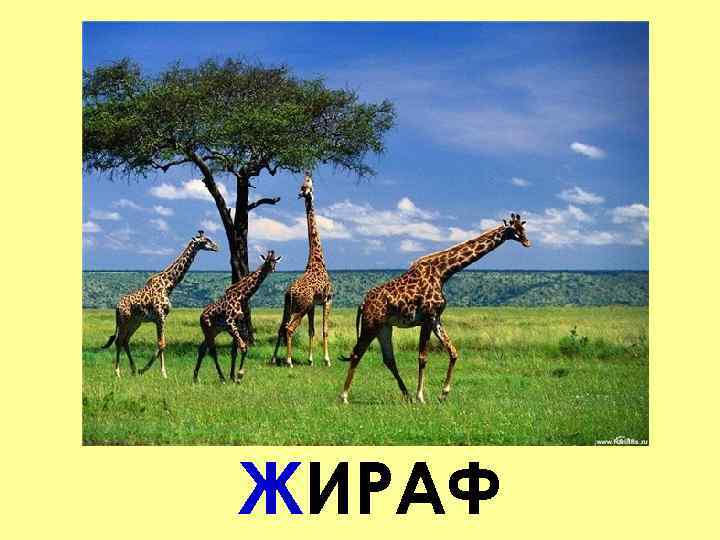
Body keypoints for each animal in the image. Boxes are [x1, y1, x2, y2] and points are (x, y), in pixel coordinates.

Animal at [101, 231, 219, 378]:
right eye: (205, 240)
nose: (216, 247)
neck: (168, 285)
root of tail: (117, 307)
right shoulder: (160, 316)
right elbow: (161, 344)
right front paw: (156, 372)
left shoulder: (162, 318)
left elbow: (162, 343)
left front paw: (153, 371)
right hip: (124, 321)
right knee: (119, 341)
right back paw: (118, 372)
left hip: (135, 322)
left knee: (125, 341)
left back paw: (133, 369)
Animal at [194, 250, 282, 383]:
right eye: (266, 261)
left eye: (275, 261)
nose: (272, 269)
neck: (241, 295)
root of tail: (201, 316)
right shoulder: (230, 323)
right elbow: (243, 347)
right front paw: (239, 375)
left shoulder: (239, 323)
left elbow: (236, 351)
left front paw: (233, 376)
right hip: (207, 329)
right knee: (212, 351)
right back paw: (221, 378)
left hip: (214, 331)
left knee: (202, 349)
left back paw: (195, 377)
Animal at [270, 172, 333, 367]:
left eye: (306, 184)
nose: (308, 174)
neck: (317, 261)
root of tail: (290, 292)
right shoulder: (328, 299)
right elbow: (324, 330)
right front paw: (327, 360)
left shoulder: (313, 304)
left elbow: (312, 331)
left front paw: (311, 359)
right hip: (301, 308)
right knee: (289, 328)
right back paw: (289, 360)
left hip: (287, 307)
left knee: (281, 327)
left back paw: (274, 358)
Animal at [338, 213, 531, 404]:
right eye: (514, 229)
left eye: (523, 228)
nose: (527, 242)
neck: (443, 272)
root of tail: (362, 304)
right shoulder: (428, 317)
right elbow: (423, 357)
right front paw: (421, 397)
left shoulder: (436, 318)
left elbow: (453, 352)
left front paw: (442, 394)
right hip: (370, 324)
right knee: (356, 354)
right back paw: (344, 397)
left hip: (384, 327)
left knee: (388, 359)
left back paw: (406, 395)